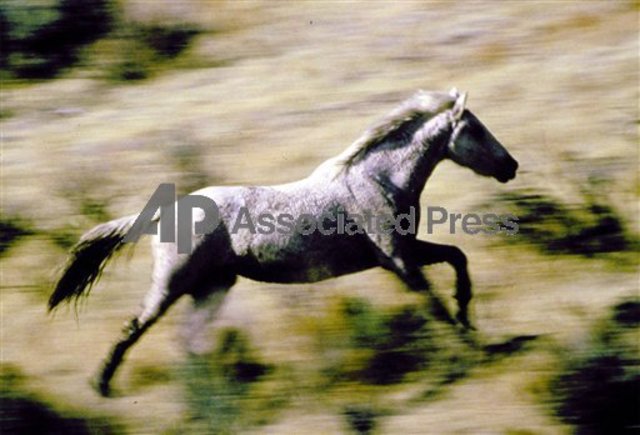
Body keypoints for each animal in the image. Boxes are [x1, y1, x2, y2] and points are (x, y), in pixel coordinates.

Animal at [49, 89, 518, 396]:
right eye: (475, 128)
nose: (511, 166)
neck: (378, 179)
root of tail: (166, 211)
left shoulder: (406, 251)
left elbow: (458, 258)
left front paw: (468, 316)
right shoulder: (398, 260)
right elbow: (434, 302)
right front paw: (469, 346)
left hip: (212, 286)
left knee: (188, 340)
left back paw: (220, 383)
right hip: (171, 284)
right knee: (136, 328)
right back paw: (103, 385)